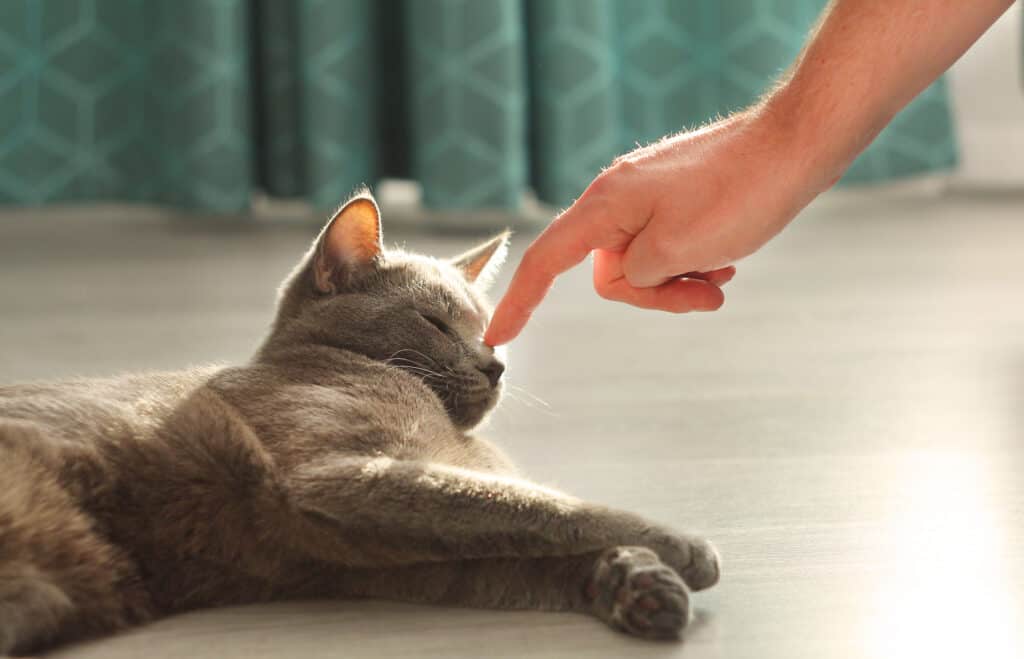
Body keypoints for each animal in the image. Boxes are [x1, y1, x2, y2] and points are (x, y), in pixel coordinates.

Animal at [0, 191, 720, 654]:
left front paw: (639, 581)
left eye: (489, 330)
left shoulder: (393, 556)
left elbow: (532, 534)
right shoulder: (346, 477)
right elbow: (542, 507)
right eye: (436, 324)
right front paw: (680, 546)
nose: (494, 364)